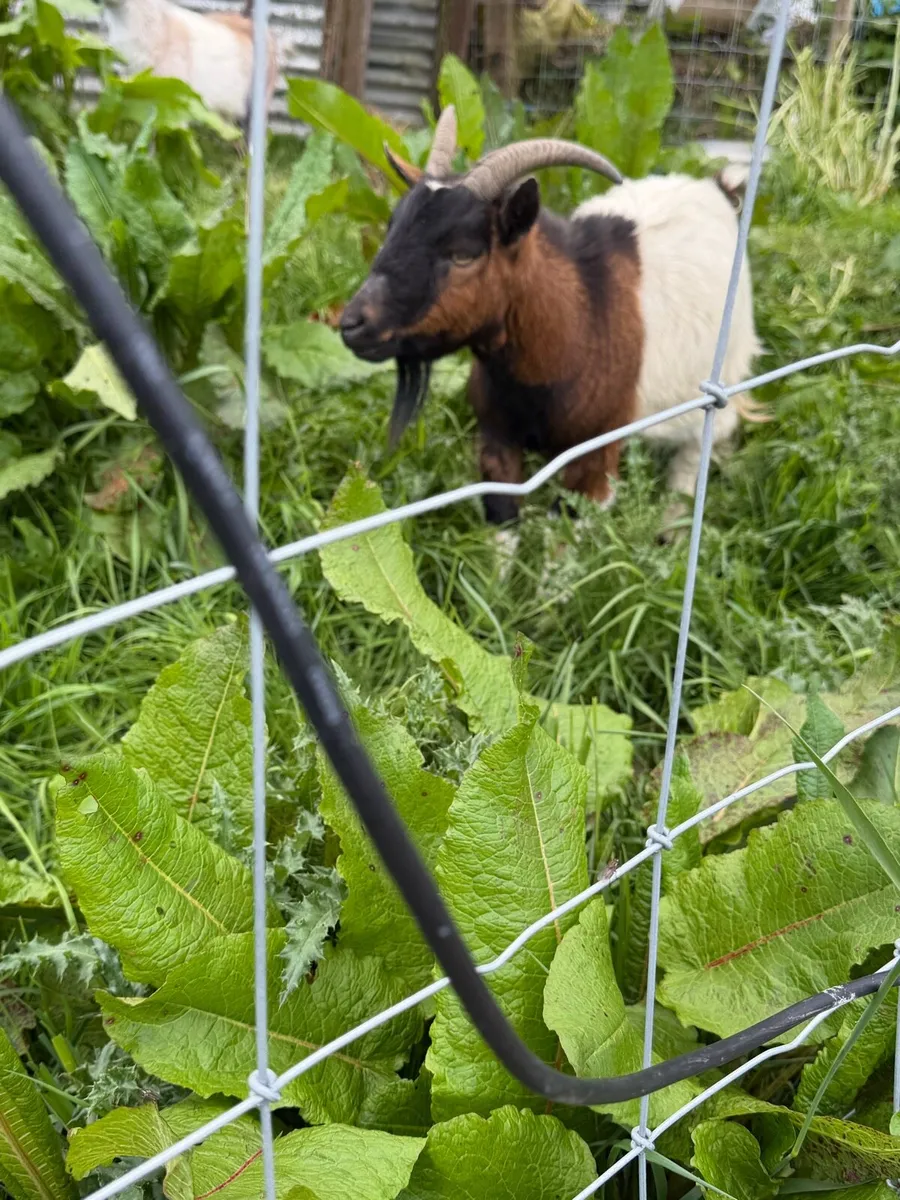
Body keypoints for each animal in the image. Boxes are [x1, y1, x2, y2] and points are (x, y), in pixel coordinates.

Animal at [340, 107, 763, 527]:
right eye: (393, 229)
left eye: (463, 254)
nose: (352, 324)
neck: (580, 320)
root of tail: (717, 190)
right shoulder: (496, 438)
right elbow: (502, 514)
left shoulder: (595, 458)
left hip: (723, 375)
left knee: (698, 453)